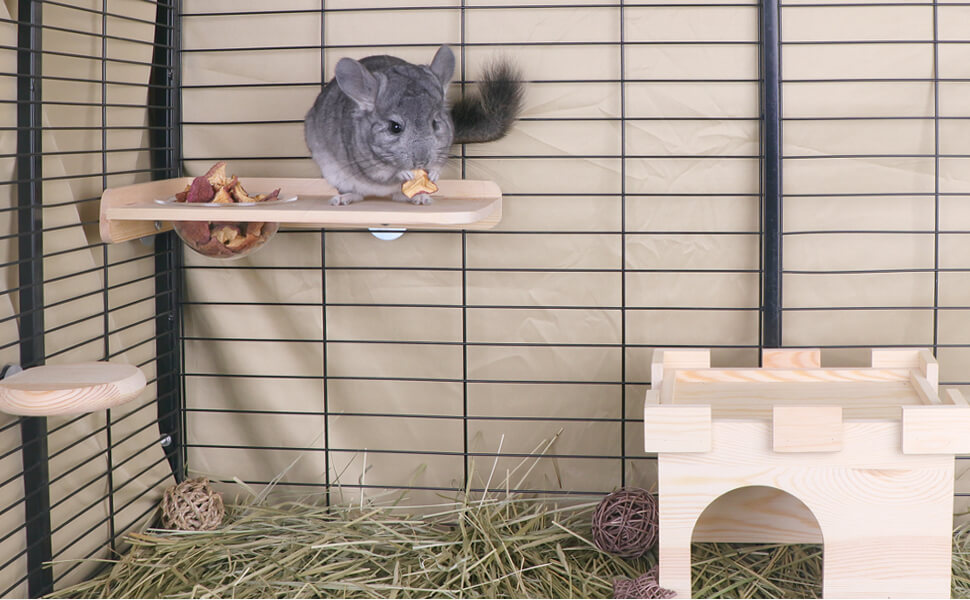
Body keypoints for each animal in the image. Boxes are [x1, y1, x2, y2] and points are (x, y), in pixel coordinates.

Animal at [304, 45, 523, 206]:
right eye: (394, 127)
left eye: (435, 123)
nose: (422, 161)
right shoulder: (367, 164)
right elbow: (386, 172)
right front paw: (404, 172)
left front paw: (433, 172)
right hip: (335, 175)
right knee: (357, 193)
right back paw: (343, 199)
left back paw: (420, 198)